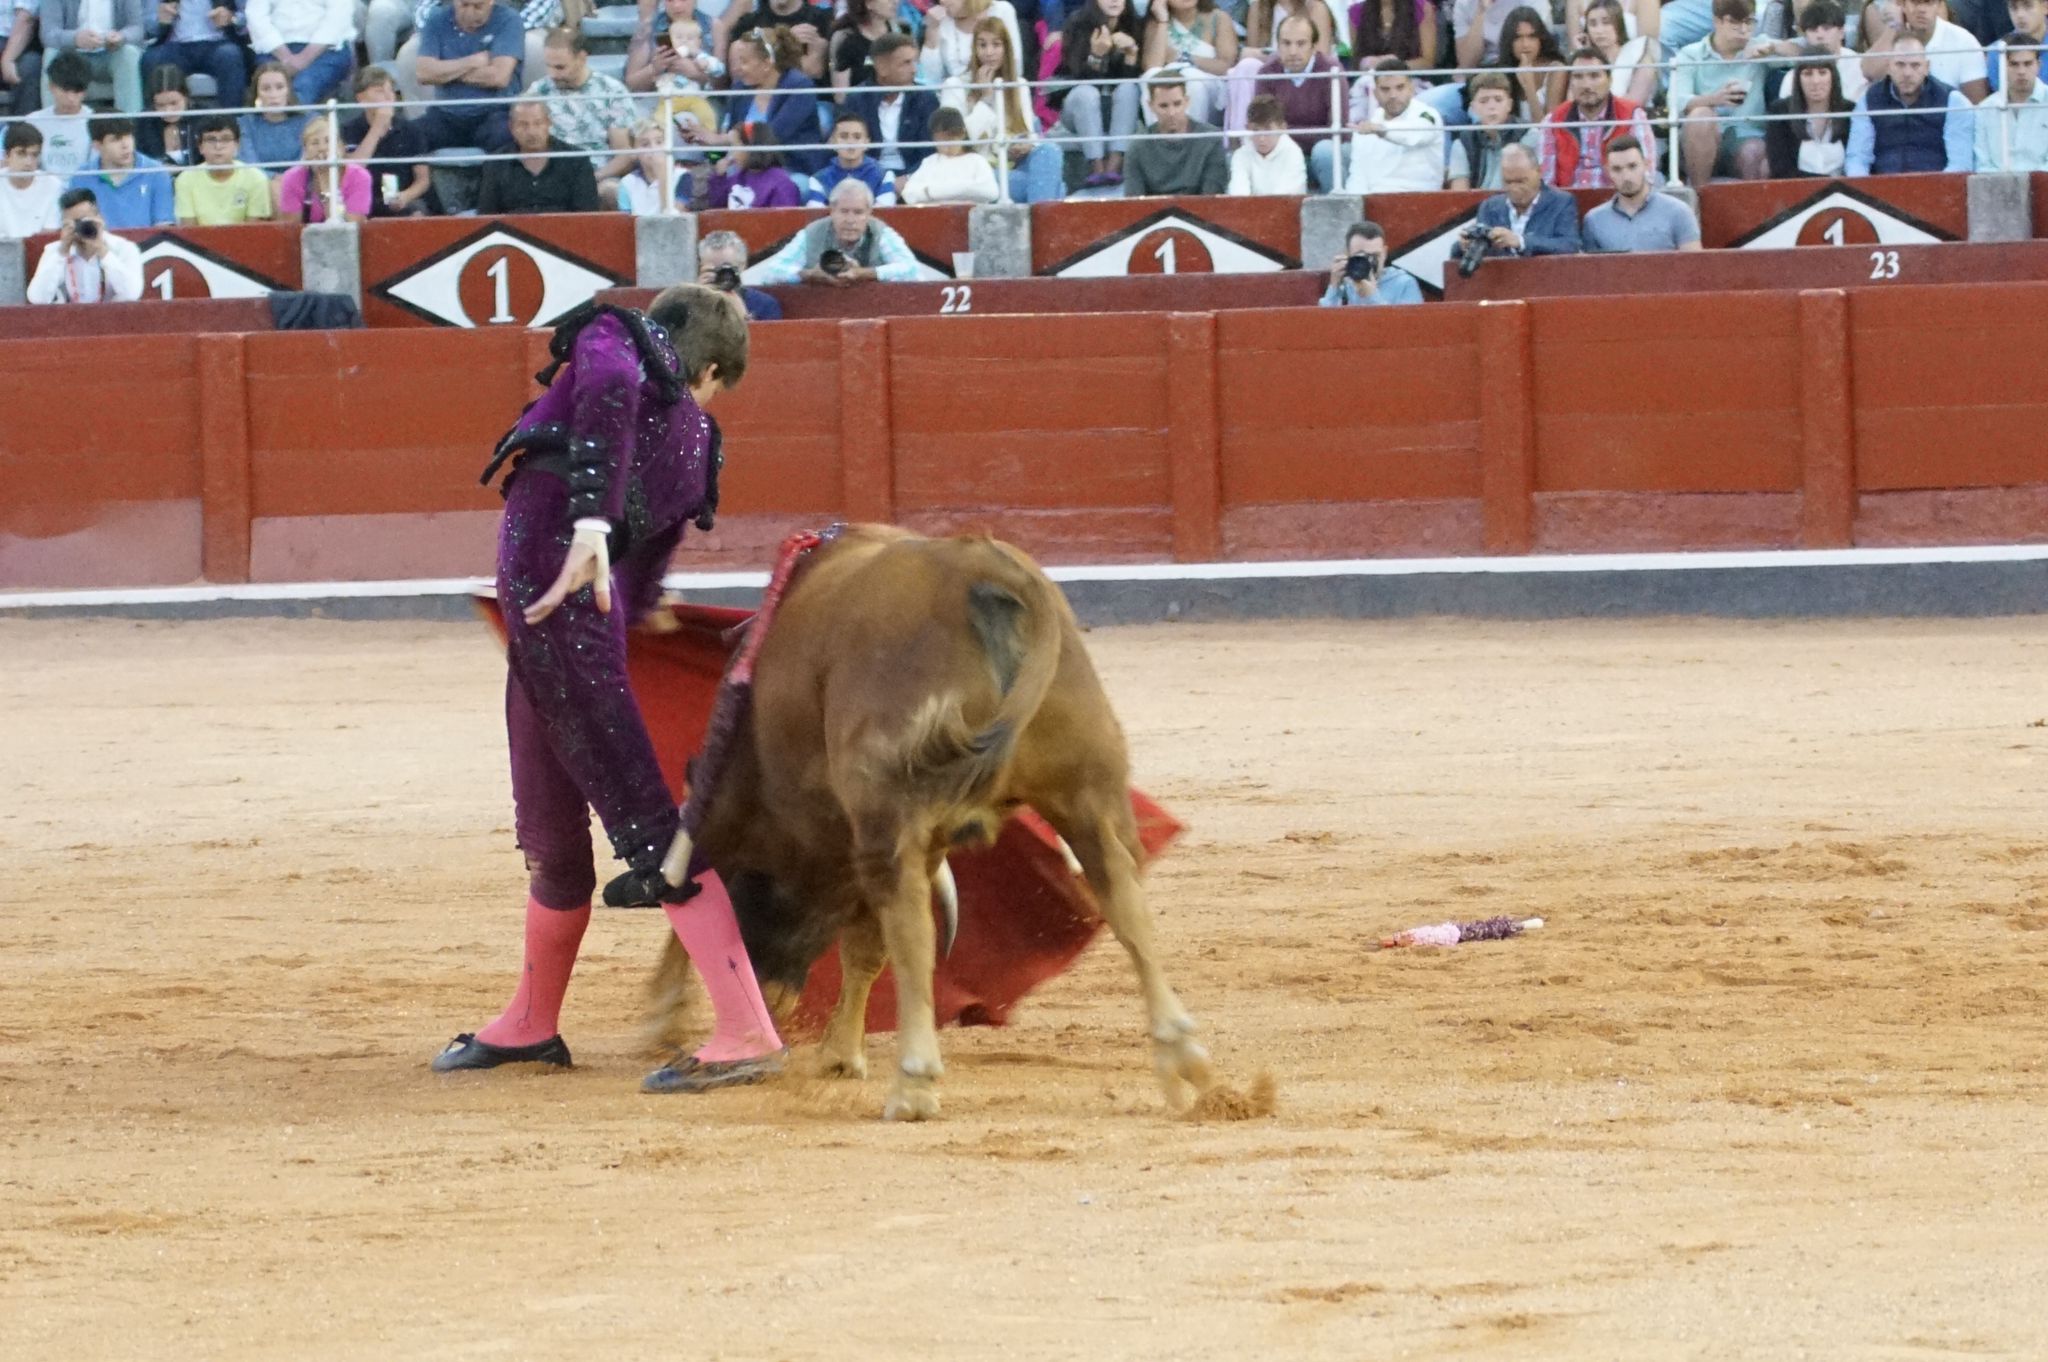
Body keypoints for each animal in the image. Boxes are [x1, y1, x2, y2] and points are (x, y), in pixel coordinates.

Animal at [647, 520, 1204, 1114]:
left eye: (752, 901)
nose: (772, 1010)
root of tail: (990, 572)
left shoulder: (778, 819)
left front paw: (665, 1019)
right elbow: (865, 946)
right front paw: (841, 1054)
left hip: (895, 808)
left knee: (913, 930)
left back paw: (913, 1083)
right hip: (1089, 790)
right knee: (1124, 899)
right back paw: (1183, 1056)